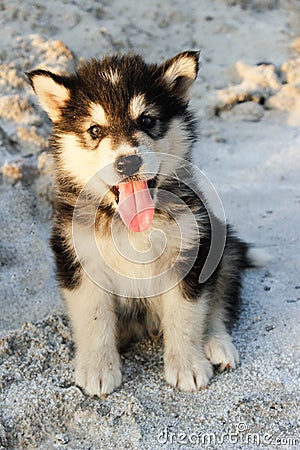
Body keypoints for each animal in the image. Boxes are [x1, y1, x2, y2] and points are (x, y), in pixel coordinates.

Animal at [27, 52, 264, 396]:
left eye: (147, 121)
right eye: (95, 130)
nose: (128, 162)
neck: (131, 226)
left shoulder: (193, 251)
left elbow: (186, 315)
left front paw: (187, 365)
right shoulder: (78, 260)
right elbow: (93, 318)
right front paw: (98, 368)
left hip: (223, 247)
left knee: (220, 301)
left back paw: (217, 343)